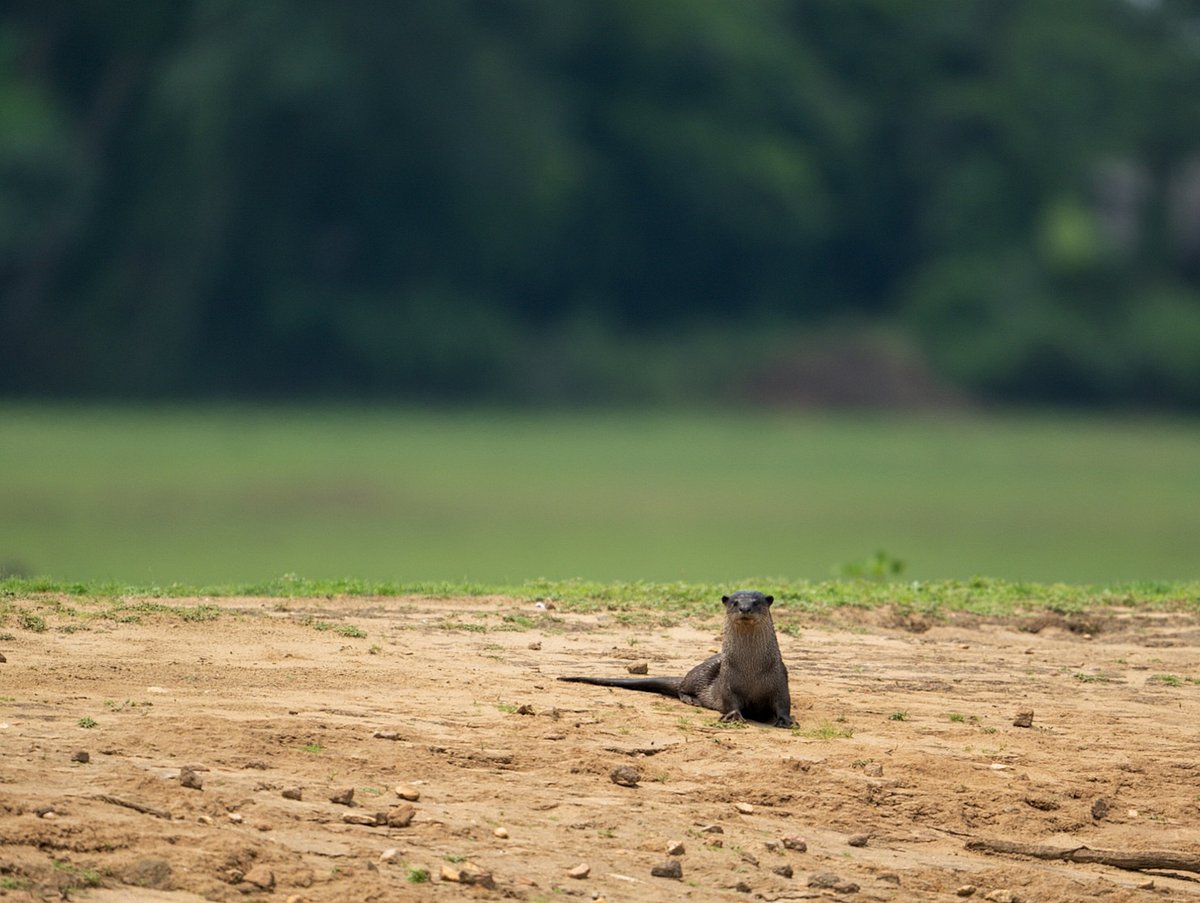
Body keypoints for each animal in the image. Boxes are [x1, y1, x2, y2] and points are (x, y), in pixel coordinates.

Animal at [558, 590, 793, 727]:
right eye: (735, 602)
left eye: (756, 602)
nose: (745, 608)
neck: (752, 668)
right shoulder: (727, 681)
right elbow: (730, 701)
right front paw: (734, 716)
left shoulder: (780, 678)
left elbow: (783, 702)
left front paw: (785, 720)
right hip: (702, 672)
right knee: (682, 687)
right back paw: (691, 699)